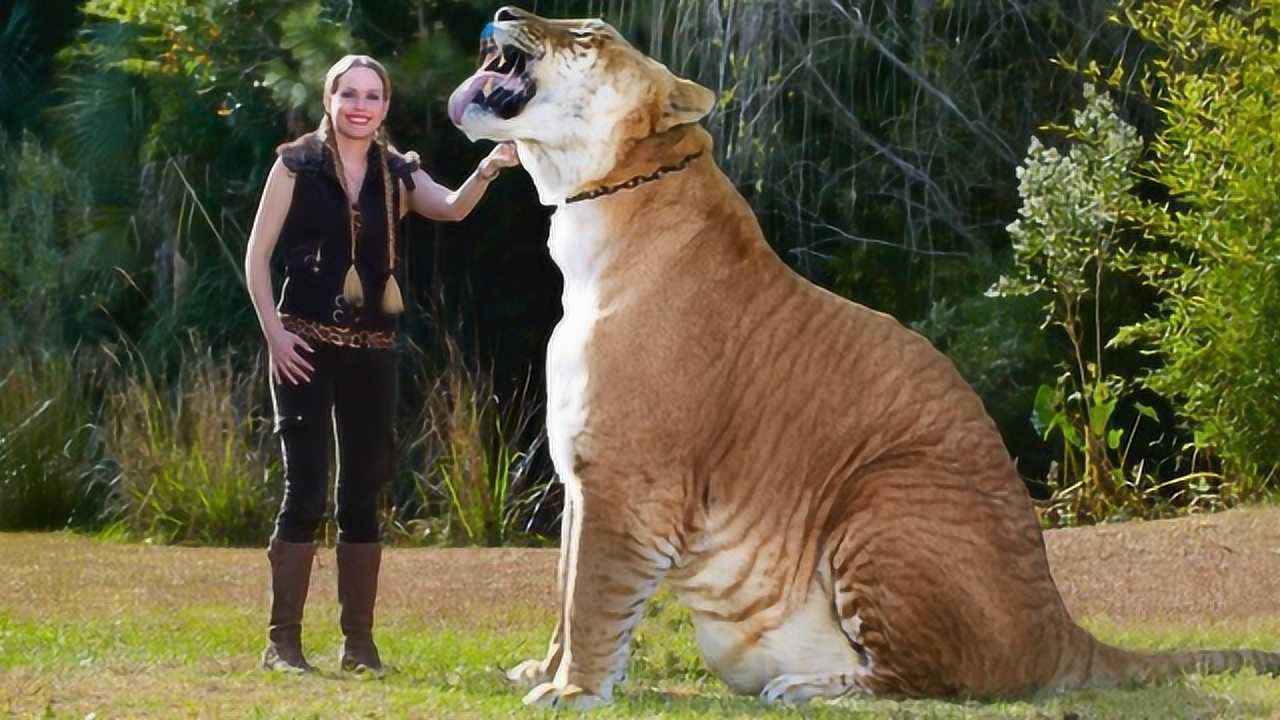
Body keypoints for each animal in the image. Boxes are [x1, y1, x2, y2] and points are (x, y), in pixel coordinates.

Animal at [446, 5, 1280, 710]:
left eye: (591, 34)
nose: (505, 11)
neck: (591, 215)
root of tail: (1060, 626)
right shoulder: (582, 480)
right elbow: (565, 586)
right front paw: (545, 668)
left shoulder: (627, 478)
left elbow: (593, 594)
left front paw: (571, 691)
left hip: (882, 503)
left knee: (929, 681)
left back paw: (804, 687)